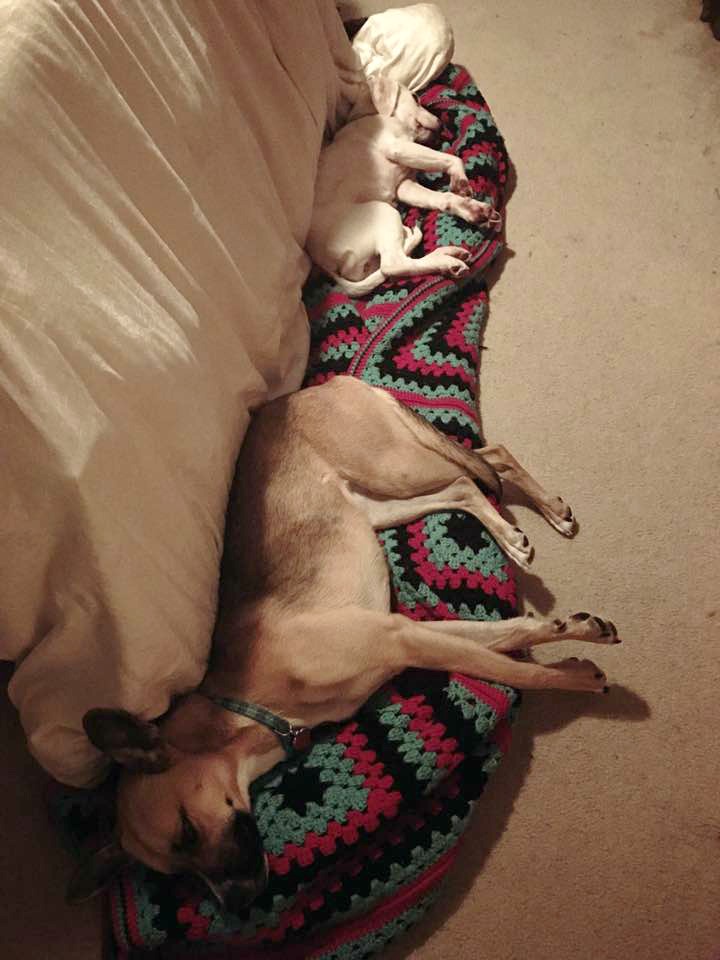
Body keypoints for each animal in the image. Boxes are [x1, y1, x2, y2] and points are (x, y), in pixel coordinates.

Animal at [69, 378, 620, 912]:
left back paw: (532, 523)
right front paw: (574, 631)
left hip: (392, 467)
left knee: (485, 464)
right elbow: (512, 635)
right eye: (176, 874)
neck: (248, 707)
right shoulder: (412, 632)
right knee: (467, 481)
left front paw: (578, 677)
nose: (239, 906)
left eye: (185, 832)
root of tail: (311, 389)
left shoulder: (402, 641)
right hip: (378, 503)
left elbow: (516, 671)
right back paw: (523, 526)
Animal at [306, 73, 504, 296]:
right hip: (382, 212)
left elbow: (442, 197)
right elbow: (452, 159)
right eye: (415, 98)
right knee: (394, 266)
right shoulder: (398, 147)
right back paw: (446, 261)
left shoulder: (403, 185)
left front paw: (470, 207)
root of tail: (324, 263)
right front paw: (460, 181)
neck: (371, 115)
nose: (440, 125)